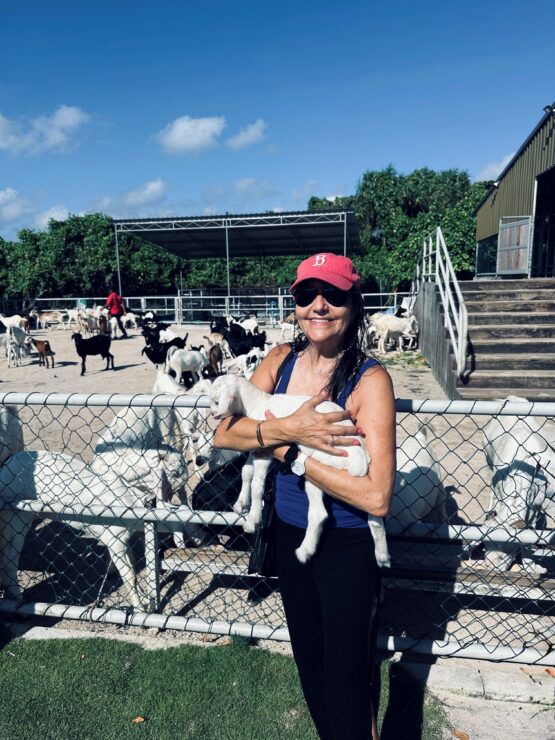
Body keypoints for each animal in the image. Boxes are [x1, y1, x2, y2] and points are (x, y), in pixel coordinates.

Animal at [210, 374, 390, 566]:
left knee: (319, 513)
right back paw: (382, 556)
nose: (213, 414)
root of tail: (360, 460)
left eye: (216, 401)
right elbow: (246, 471)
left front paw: (252, 520)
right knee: (374, 514)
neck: (259, 403)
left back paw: (304, 552)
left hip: (319, 465)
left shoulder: (267, 452)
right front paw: (241, 503)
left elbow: (257, 485)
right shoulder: (258, 447)